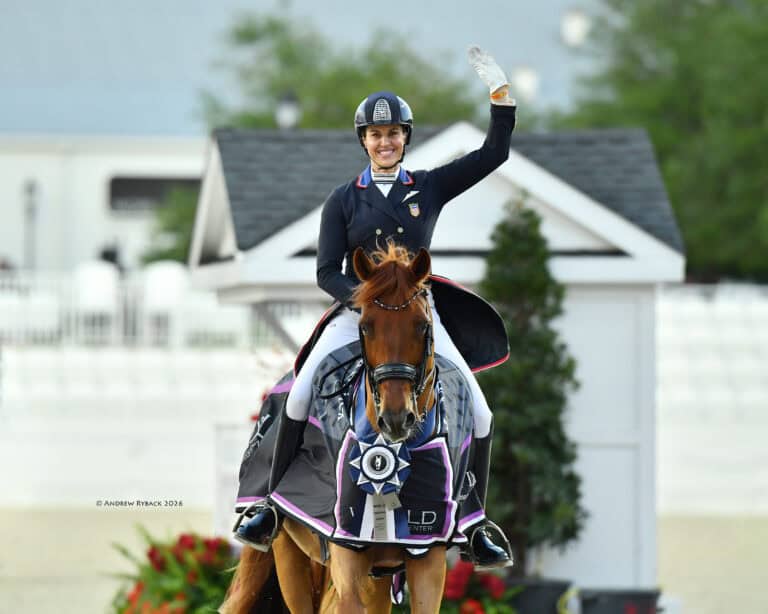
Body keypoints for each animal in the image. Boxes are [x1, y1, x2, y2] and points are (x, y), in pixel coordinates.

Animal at [221, 244, 447, 614]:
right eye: (366, 326)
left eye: (422, 325)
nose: (396, 418)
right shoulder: (347, 561)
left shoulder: (428, 560)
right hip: (289, 554)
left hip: (379, 575)